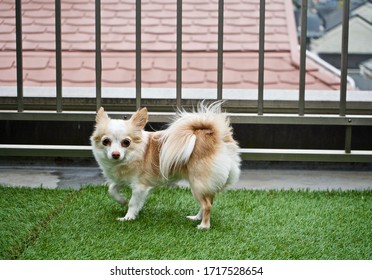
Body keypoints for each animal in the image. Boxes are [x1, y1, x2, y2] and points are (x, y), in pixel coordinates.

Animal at [90, 101, 241, 229]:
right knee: (208, 201)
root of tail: (217, 138)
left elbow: (133, 203)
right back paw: (196, 218)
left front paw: (128, 217)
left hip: (197, 183)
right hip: (205, 184)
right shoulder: (123, 179)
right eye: (106, 141)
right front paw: (122, 201)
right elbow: (112, 189)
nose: (115, 154)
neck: (130, 155)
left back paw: (203, 226)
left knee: (207, 205)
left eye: (126, 142)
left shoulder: (139, 186)